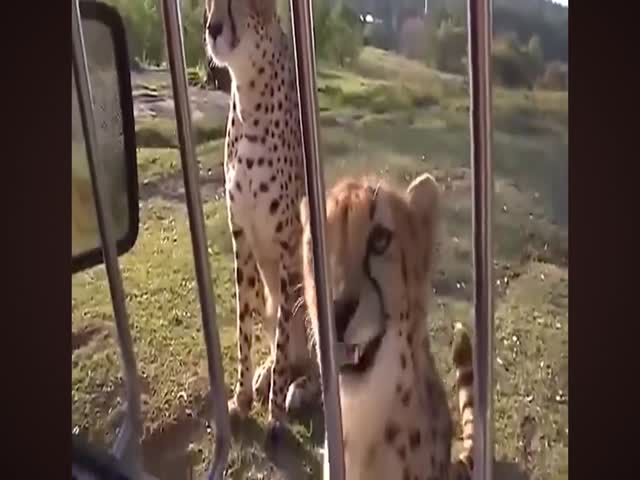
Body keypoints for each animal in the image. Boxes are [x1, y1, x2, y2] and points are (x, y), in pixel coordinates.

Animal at [203, 0, 320, 435]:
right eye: (208, 3)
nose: (213, 28)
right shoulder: (242, 237)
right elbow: (244, 325)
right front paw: (241, 399)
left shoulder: (289, 245)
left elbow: (285, 334)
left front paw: (275, 415)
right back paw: (268, 373)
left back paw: (298, 389)